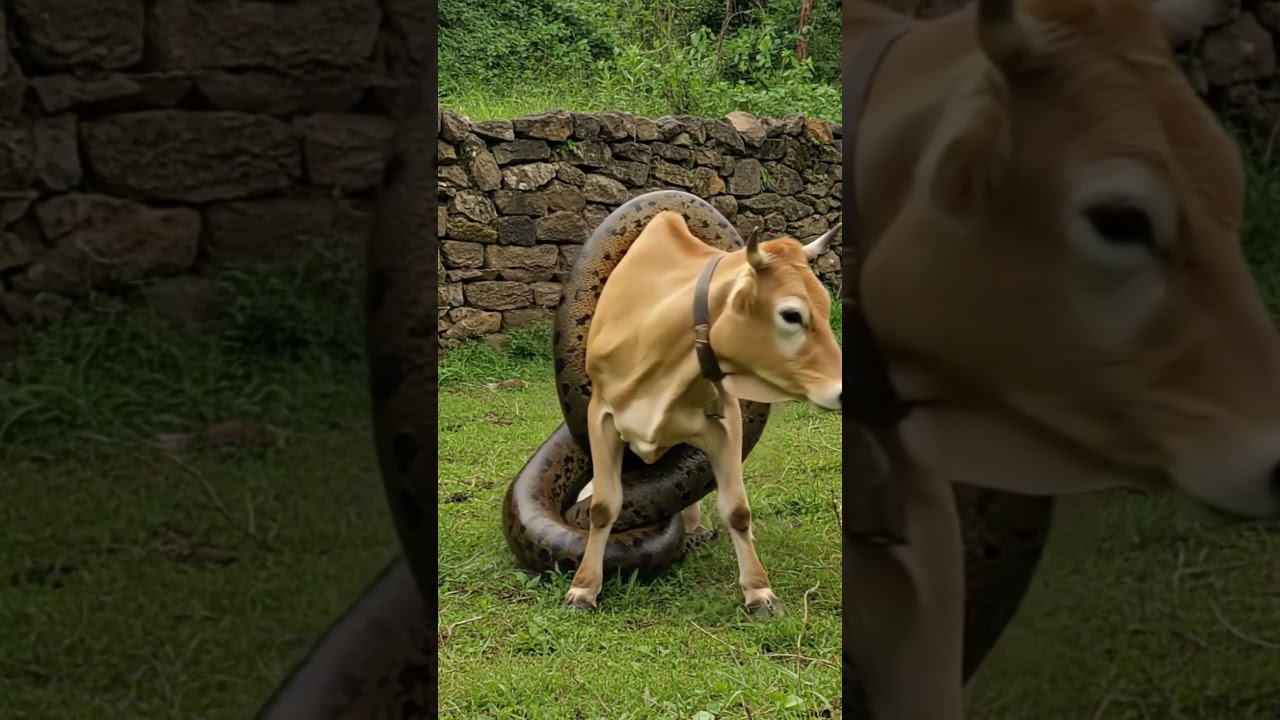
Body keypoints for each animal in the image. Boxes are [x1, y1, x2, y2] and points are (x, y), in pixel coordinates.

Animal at [562, 210, 844, 615]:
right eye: (792, 315)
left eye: (826, 306)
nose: (842, 389)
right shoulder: (601, 416)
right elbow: (602, 506)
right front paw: (583, 587)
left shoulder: (725, 422)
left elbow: (738, 510)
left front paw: (759, 591)